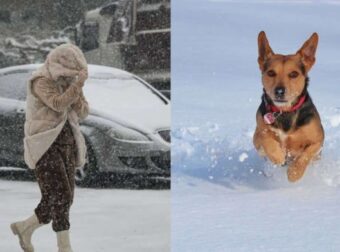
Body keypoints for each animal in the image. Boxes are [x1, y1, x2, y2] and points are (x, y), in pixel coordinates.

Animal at [254, 31, 326, 182]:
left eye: (294, 74)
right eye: (271, 73)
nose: (279, 91)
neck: (285, 112)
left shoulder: (318, 140)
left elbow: (306, 154)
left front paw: (294, 172)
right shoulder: (258, 134)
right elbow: (265, 137)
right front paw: (277, 155)